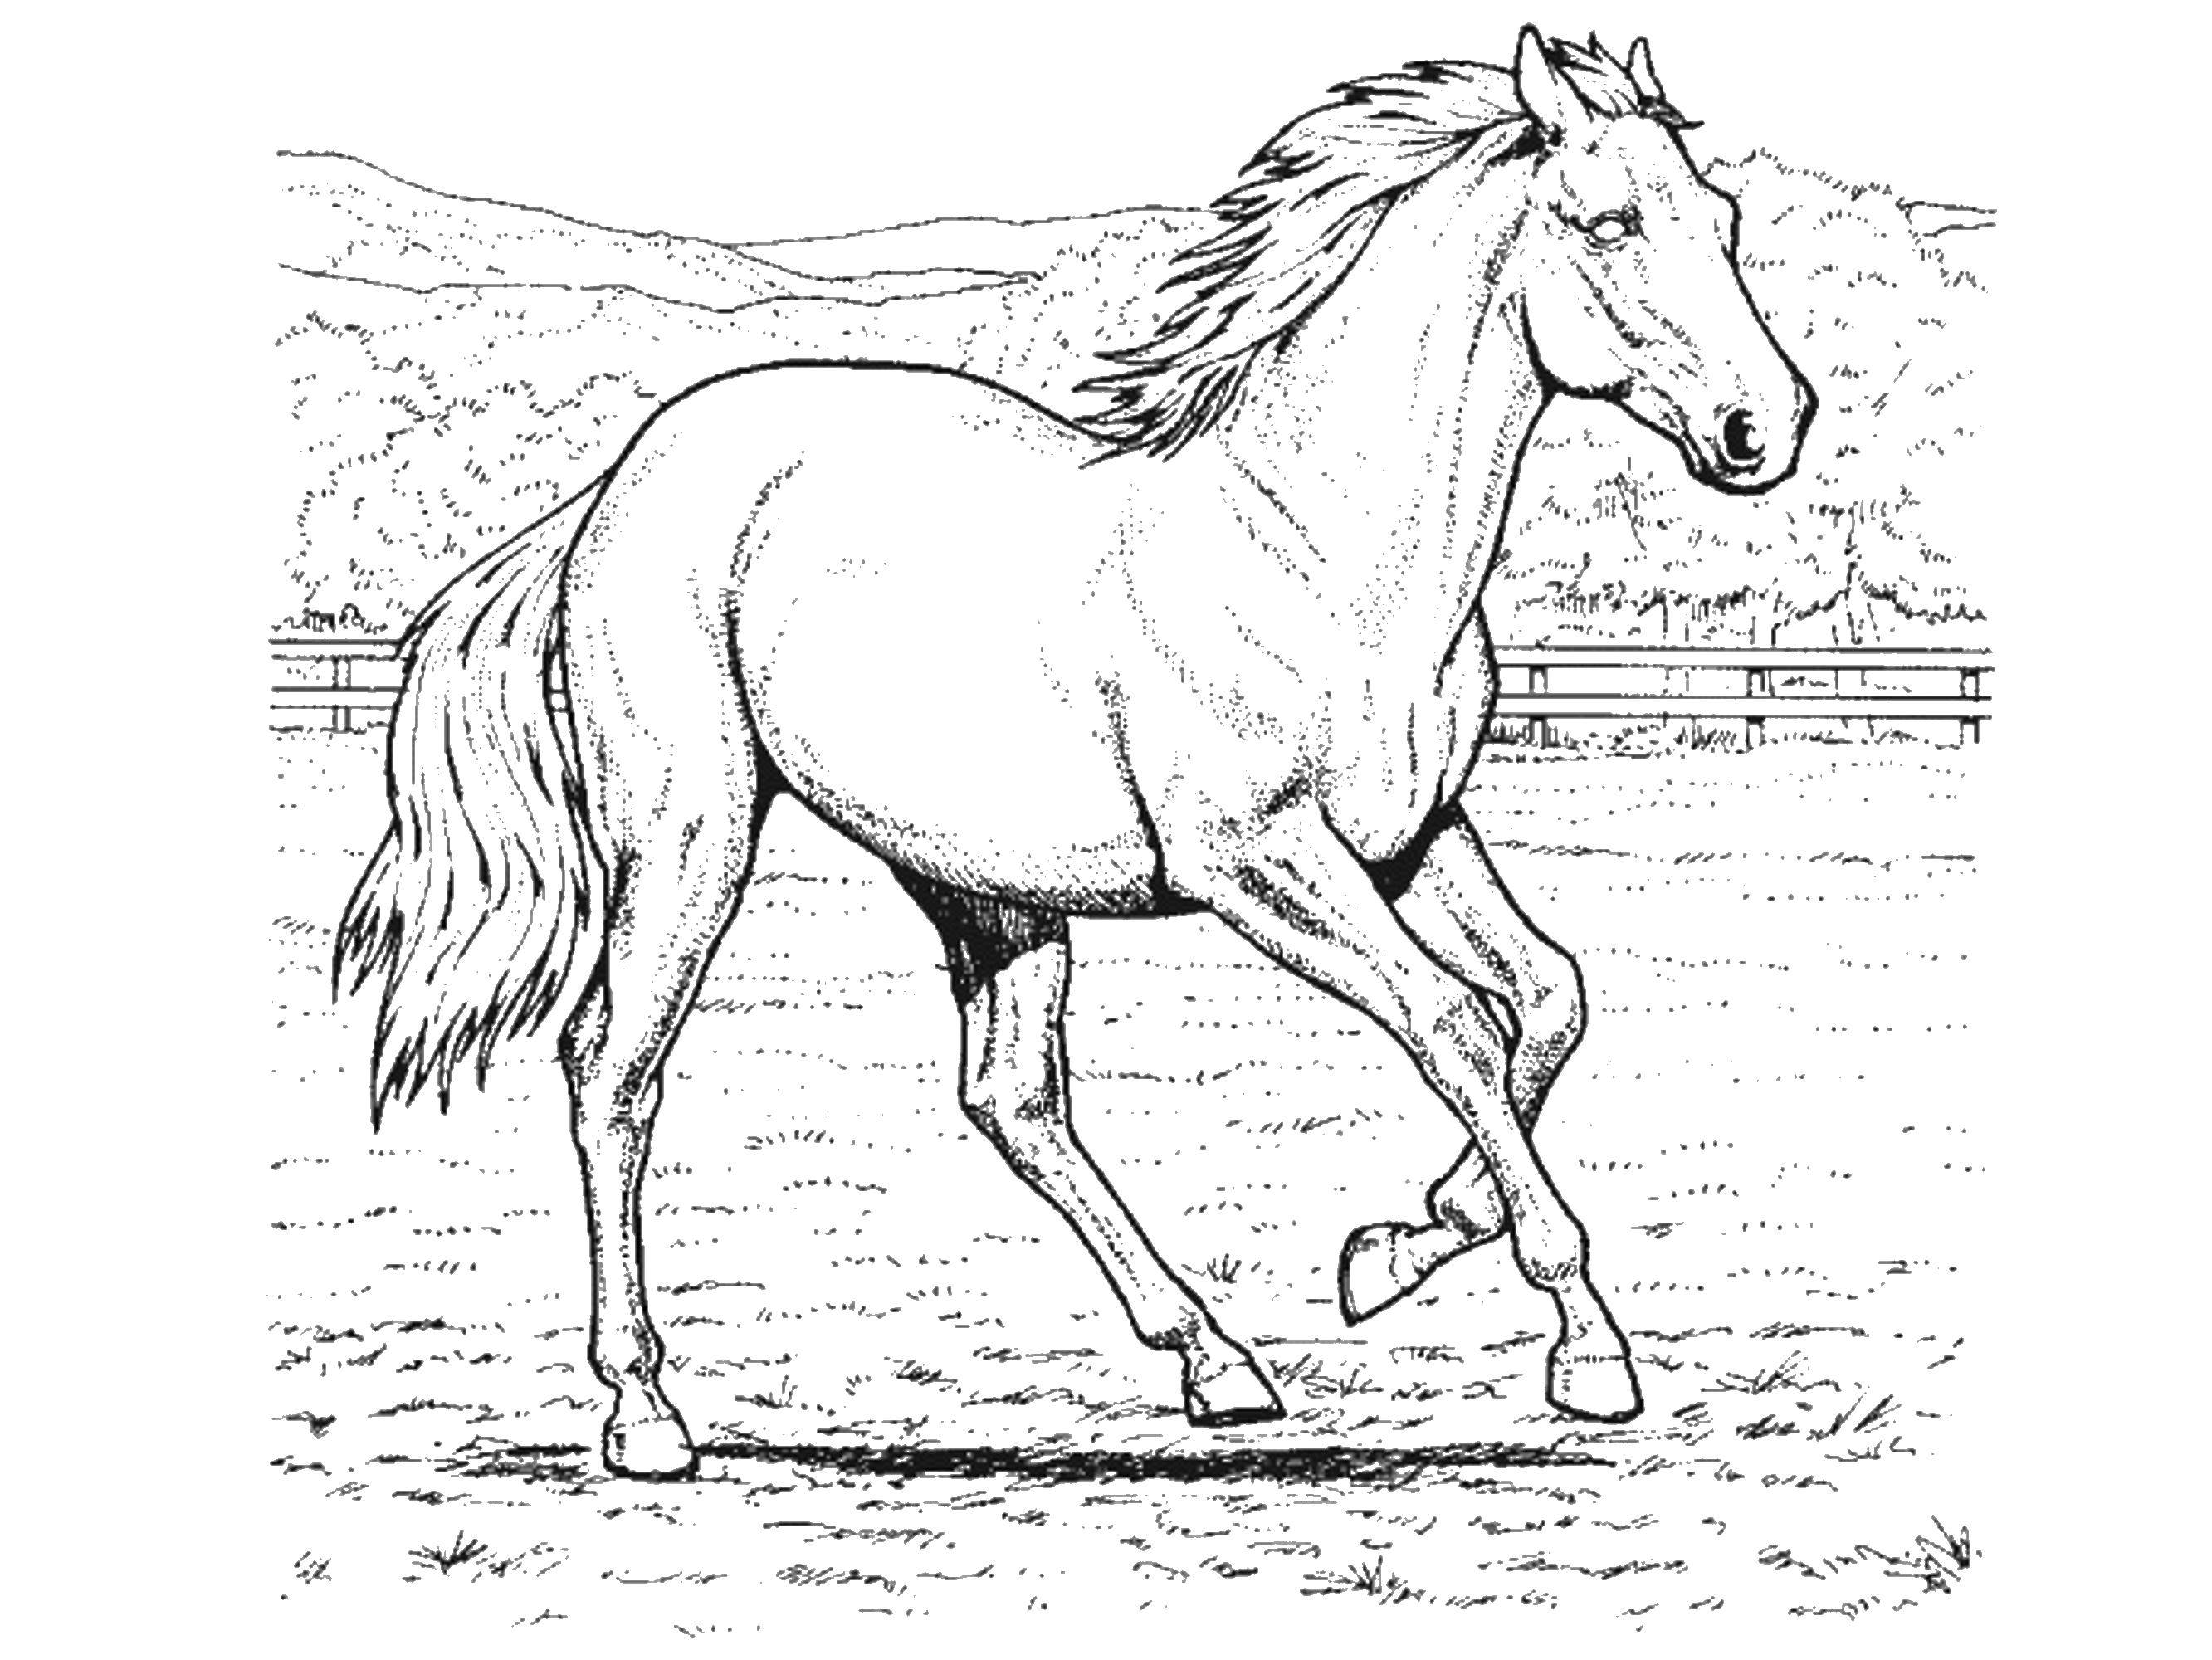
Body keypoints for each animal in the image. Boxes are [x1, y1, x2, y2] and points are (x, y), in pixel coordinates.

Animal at [337, 27, 1813, 1481]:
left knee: (1011, 1099)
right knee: (614, 1070)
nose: (1767, 427)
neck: (1315, 547)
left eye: (1723, 218)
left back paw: (1218, 1365)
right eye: (1609, 221)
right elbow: (1454, 1024)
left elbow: (1551, 999)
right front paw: (1584, 1351)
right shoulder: (1257, 862)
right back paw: (646, 1414)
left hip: (984, 885)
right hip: (690, 836)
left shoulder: (1411, 840)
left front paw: (1394, 1250)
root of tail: (615, 485)